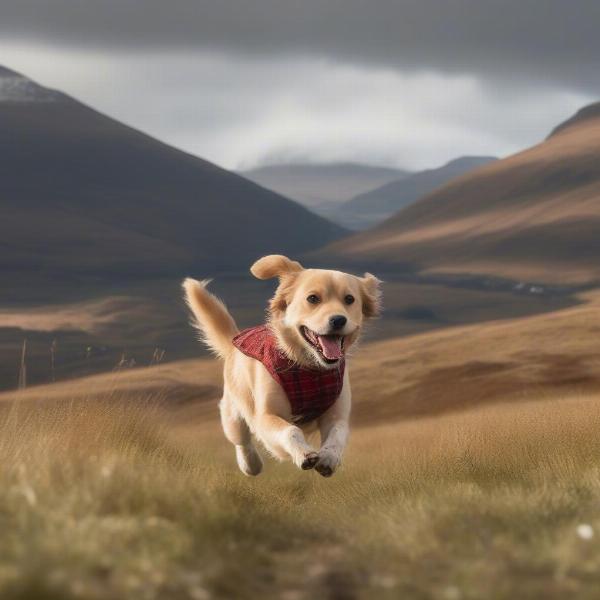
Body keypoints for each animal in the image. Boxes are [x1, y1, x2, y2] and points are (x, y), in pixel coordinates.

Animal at [182, 254, 380, 478]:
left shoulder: (336, 414)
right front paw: (304, 454)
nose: (338, 320)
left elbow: (337, 433)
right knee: (241, 440)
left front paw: (329, 457)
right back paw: (250, 464)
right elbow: (291, 431)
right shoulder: (265, 417)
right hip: (233, 412)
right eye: (313, 298)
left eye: (349, 299)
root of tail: (234, 342)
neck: (309, 369)